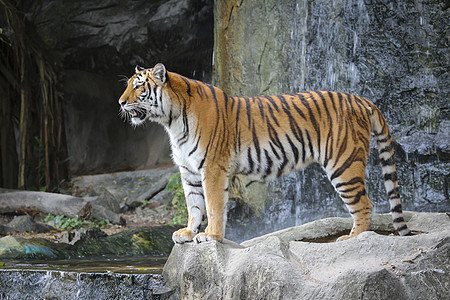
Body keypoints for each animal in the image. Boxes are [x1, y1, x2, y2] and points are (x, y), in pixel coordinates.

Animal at [118, 63, 412, 244]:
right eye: (128, 84)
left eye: (139, 86)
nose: (120, 102)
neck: (172, 120)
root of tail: (362, 99)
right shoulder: (188, 170)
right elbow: (194, 205)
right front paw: (189, 233)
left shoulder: (212, 168)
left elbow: (213, 205)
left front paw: (211, 236)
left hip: (344, 163)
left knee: (365, 204)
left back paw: (351, 239)